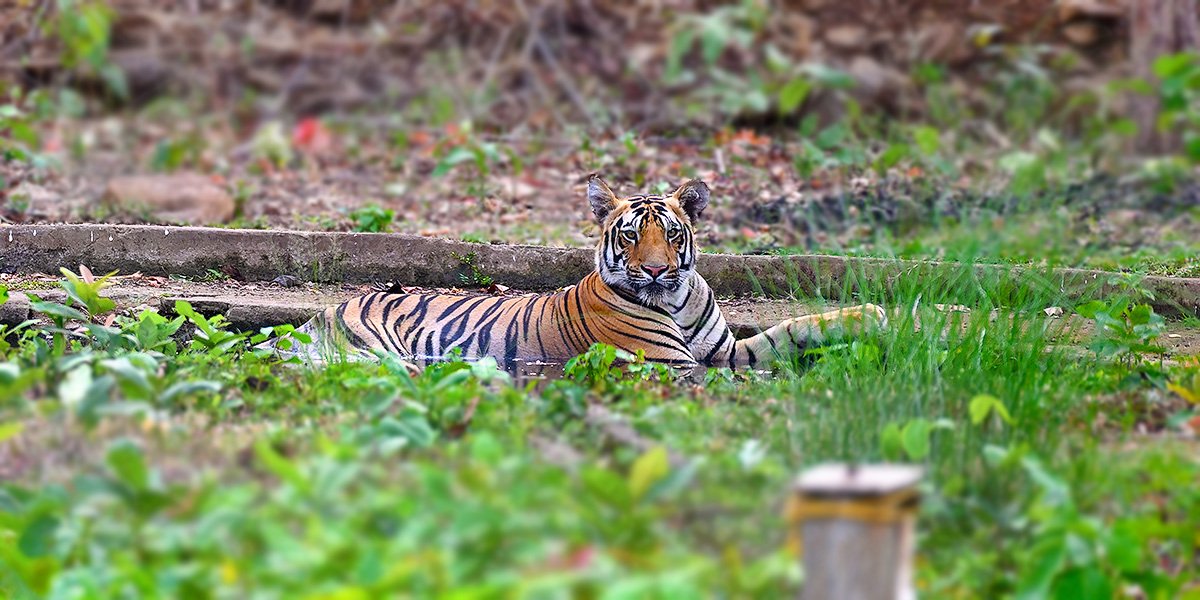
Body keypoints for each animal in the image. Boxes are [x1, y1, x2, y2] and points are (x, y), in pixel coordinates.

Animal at [276, 174, 888, 367]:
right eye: (630, 235)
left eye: (671, 234)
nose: (657, 272)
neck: (675, 300)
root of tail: (326, 311)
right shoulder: (673, 368)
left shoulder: (726, 352)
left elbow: (790, 331)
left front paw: (873, 315)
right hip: (379, 350)